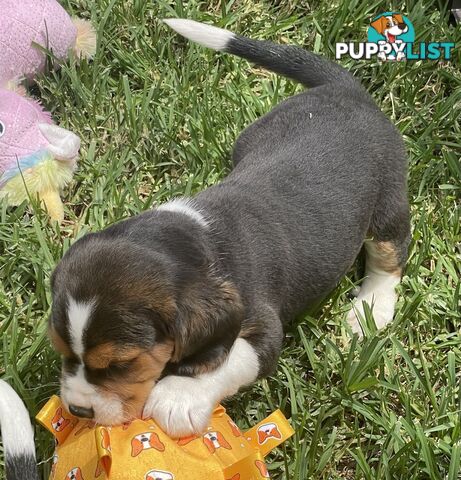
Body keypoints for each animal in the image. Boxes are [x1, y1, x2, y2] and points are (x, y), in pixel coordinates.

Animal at [45, 19, 406, 438]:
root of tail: (346, 89)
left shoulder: (263, 328)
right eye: (60, 350)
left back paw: (371, 307)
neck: (194, 237)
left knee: (391, 257)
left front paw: (179, 396)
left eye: (121, 364)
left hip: (388, 206)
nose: (77, 409)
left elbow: (231, 358)